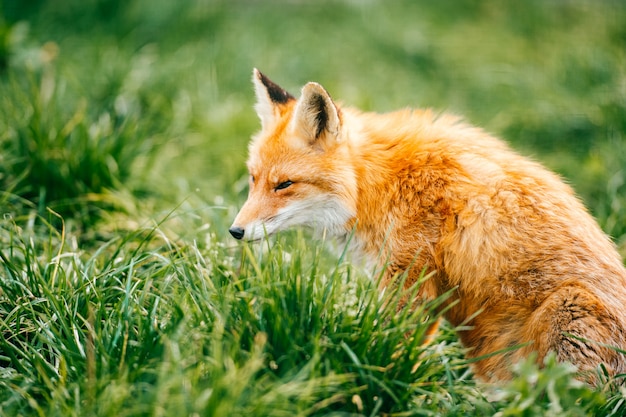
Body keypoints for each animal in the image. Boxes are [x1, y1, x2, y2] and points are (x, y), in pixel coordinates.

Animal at [229, 68, 624, 384]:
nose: (235, 231)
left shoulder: (413, 281)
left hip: (566, 310)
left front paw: (380, 379)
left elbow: (391, 349)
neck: (376, 185)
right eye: (253, 179)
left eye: (284, 185)